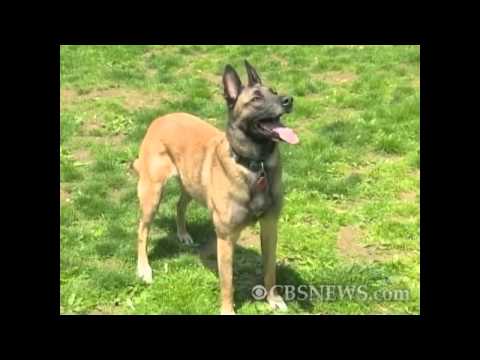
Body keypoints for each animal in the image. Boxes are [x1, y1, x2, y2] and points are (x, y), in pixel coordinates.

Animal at [133, 60, 298, 314]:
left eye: (274, 91)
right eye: (256, 98)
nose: (289, 100)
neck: (254, 165)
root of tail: (160, 118)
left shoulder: (270, 227)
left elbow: (270, 270)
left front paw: (274, 299)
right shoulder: (226, 238)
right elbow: (227, 283)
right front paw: (228, 310)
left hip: (191, 184)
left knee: (180, 205)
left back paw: (183, 234)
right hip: (152, 193)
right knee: (142, 230)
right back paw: (144, 269)